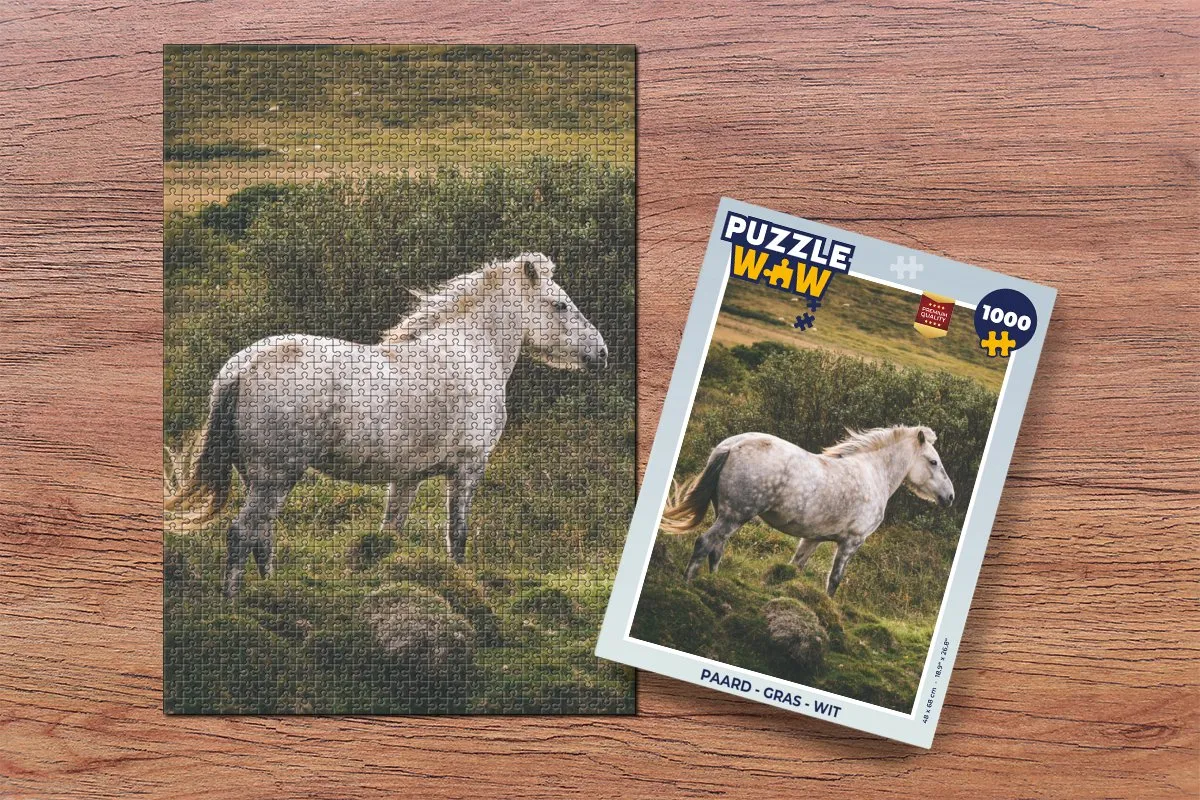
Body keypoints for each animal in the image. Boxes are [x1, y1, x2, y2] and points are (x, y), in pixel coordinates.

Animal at [168, 253, 608, 597]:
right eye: (560, 305)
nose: (601, 353)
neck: (471, 350)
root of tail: (240, 369)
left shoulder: (407, 478)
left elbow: (390, 534)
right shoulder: (467, 468)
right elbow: (458, 534)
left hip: (262, 481)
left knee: (262, 535)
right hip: (275, 478)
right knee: (243, 533)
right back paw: (235, 603)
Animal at [660, 426, 955, 596]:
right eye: (933, 461)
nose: (949, 497)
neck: (873, 473)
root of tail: (731, 446)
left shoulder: (812, 539)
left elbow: (794, 567)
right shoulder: (852, 541)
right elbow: (834, 580)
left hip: (728, 515)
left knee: (716, 549)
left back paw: (714, 585)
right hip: (735, 516)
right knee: (705, 543)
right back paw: (688, 585)